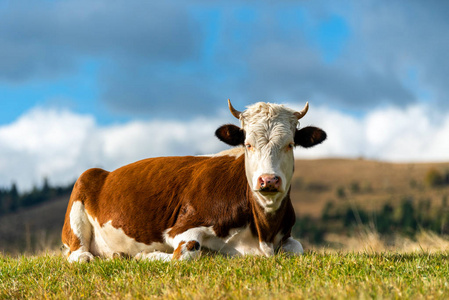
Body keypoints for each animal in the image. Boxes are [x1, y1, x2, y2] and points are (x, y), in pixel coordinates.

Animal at [60, 99, 326, 262]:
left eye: (290, 144)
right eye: (248, 144)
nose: (268, 181)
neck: (263, 234)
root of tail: (104, 172)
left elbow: (298, 249)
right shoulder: (181, 228)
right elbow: (187, 253)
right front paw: (147, 256)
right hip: (79, 201)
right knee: (78, 253)